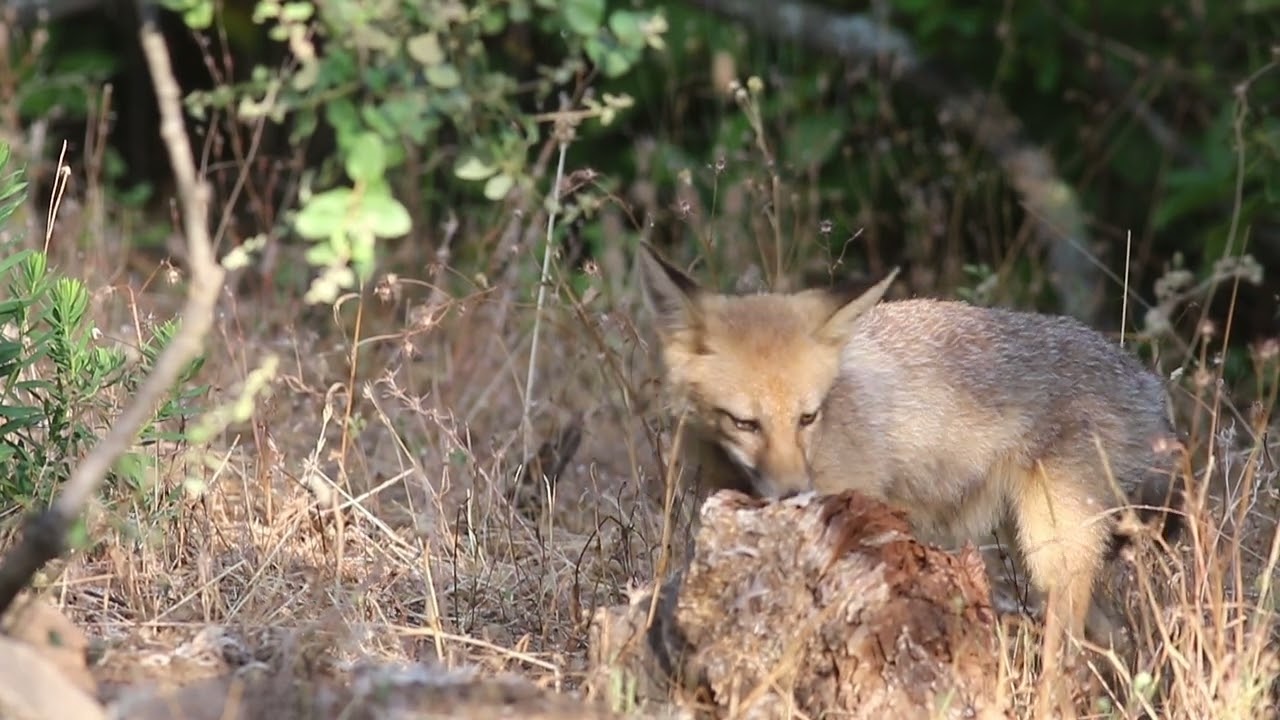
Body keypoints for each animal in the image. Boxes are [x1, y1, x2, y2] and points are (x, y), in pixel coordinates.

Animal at [637, 241, 1185, 649]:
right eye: (745, 423)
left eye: (806, 417)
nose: (795, 494)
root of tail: (1146, 381)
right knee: (1116, 639)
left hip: (1054, 553)